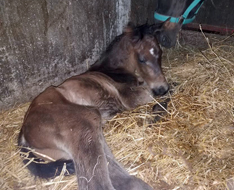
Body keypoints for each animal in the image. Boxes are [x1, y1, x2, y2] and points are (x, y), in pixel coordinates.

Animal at [18, 24, 168, 190]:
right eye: (142, 59)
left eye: (160, 52)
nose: (162, 88)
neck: (114, 71)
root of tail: (24, 133)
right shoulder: (129, 97)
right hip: (84, 121)